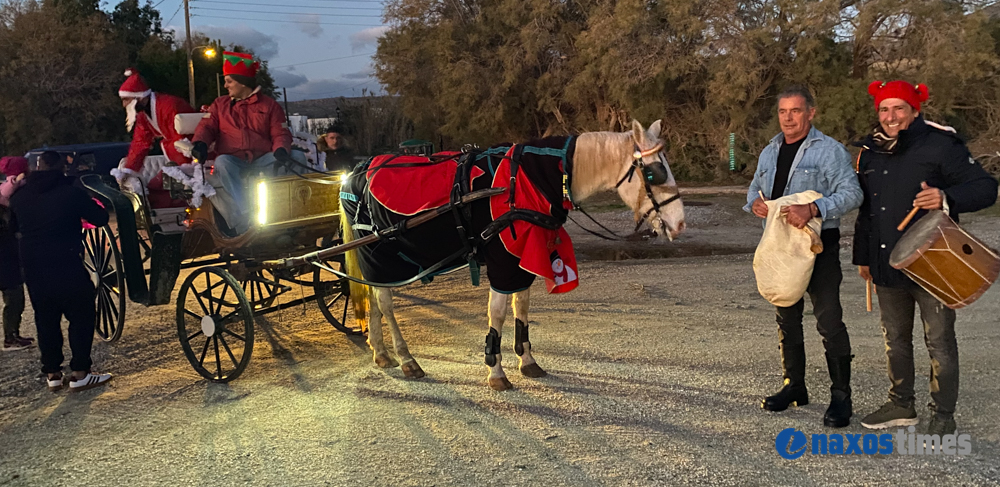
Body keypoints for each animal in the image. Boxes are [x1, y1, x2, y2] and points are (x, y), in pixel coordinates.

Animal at [340, 121, 684, 392]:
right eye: (653, 173)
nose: (679, 223)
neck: (526, 178)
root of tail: (358, 172)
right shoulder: (502, 259)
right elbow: (498, 314)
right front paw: (495, 370)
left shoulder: (524, 257)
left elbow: (523, 307)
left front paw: (527, 359)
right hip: (379, 254)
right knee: (384, 302)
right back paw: (406, 357)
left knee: (373, 297)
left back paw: (381, 352)